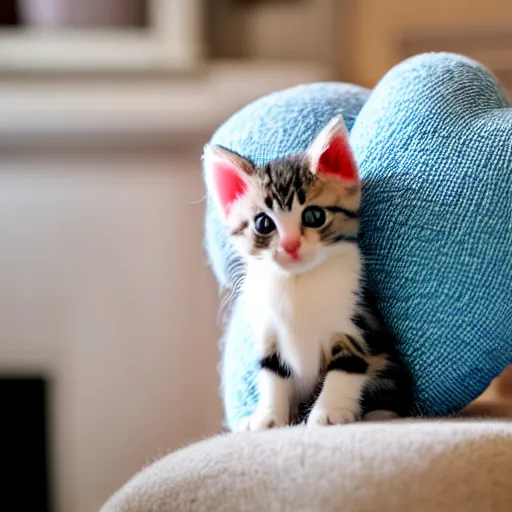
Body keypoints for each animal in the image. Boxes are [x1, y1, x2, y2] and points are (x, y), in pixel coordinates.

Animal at [202, 115, 410, 428]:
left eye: (314, 216)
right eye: (263, 224)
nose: (290, 245)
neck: (297, 282)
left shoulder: (354, 318)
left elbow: (347, 365)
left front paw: (329, 412)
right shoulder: (268, 331)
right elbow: (271, 373)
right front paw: (268, 416)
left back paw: (381, 413)